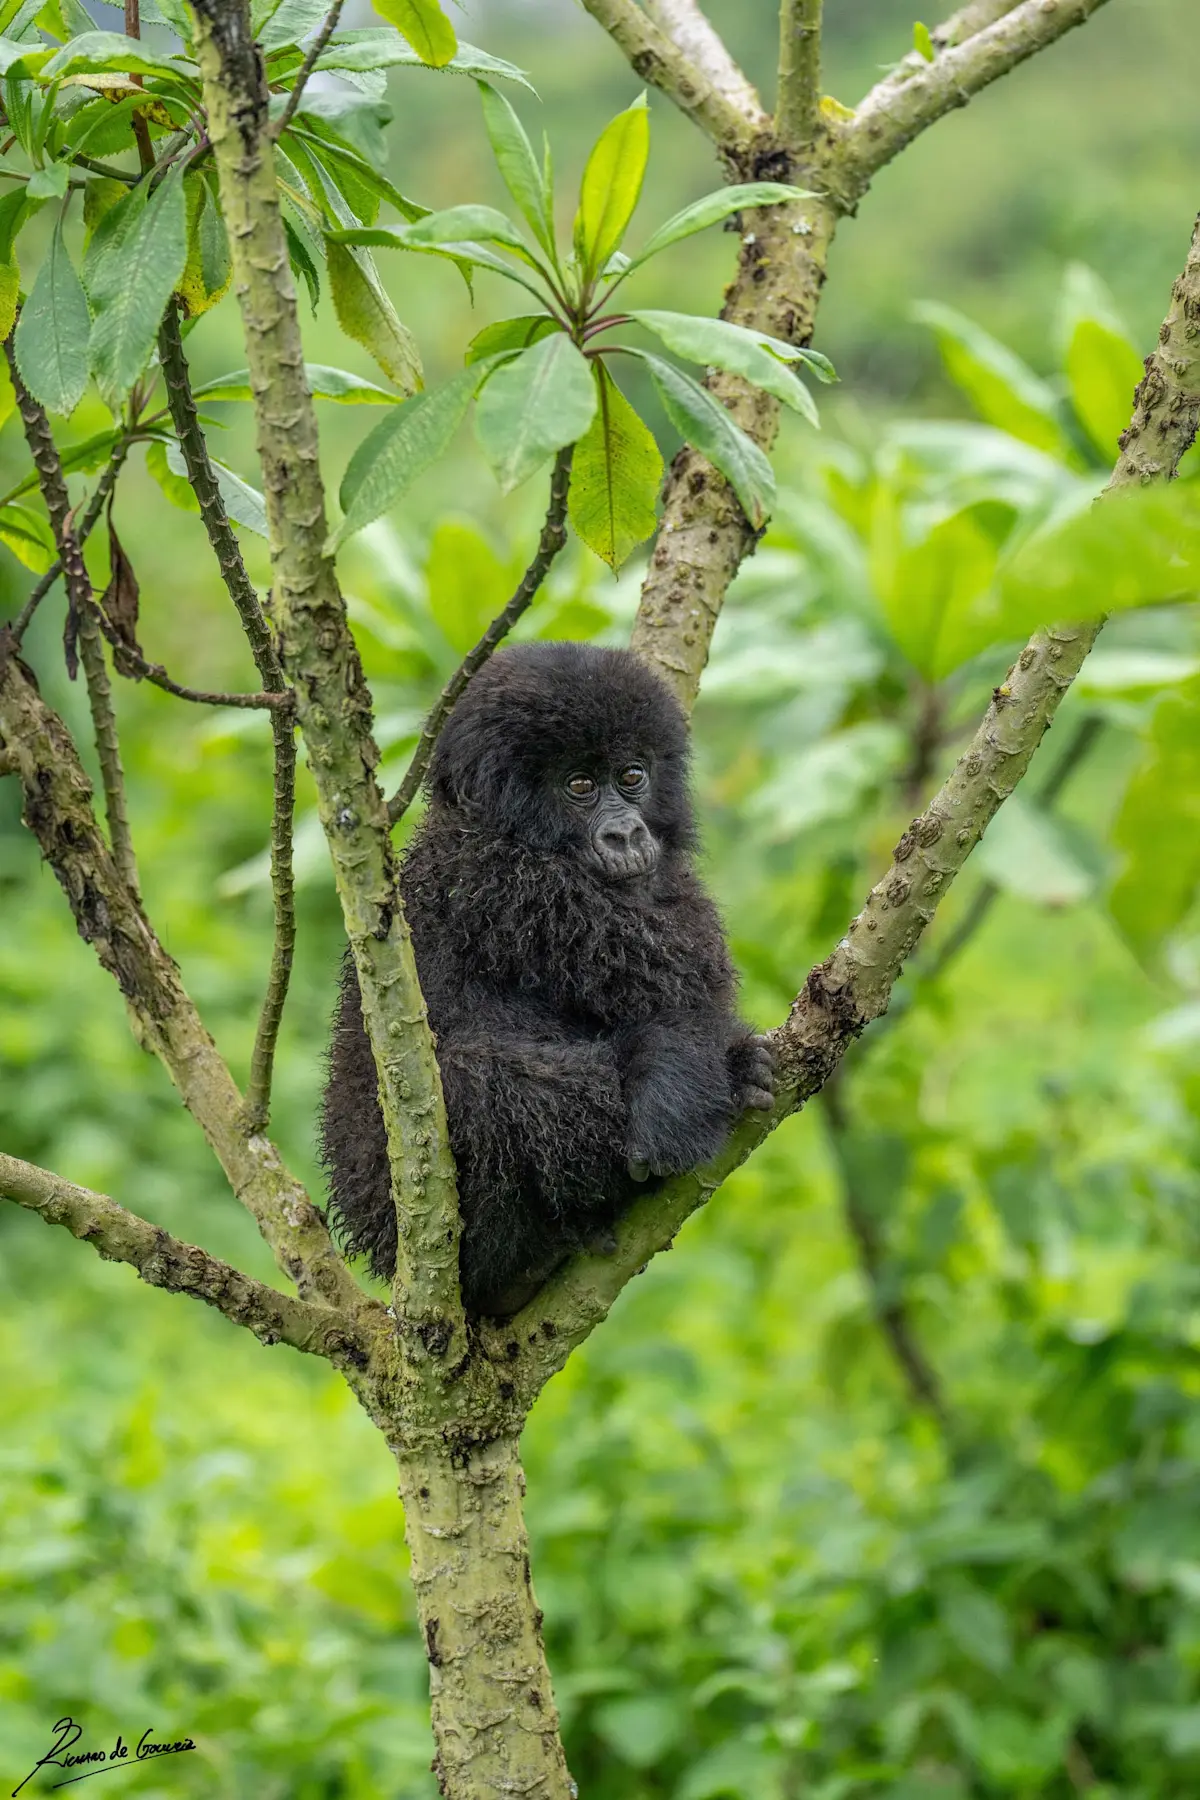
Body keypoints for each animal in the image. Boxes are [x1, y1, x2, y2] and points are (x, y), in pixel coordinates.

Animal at [320, 641, 774, 1317]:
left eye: (632, 776)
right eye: (579, 785)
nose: (626, 833)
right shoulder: (517, 887)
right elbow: (684, 1005)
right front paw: (678, 1081)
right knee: (474, 1081)